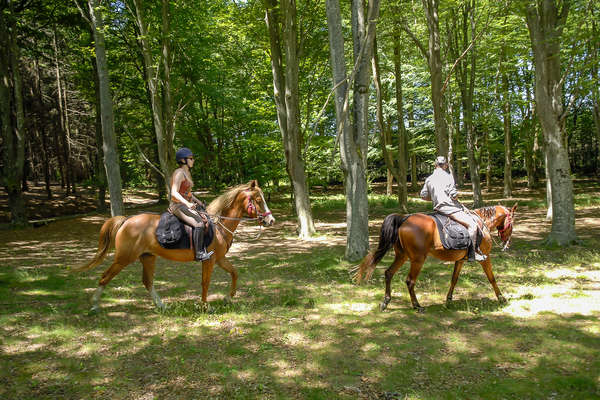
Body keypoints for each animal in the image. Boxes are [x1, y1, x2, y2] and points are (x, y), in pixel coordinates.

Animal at [73, 180, 276, 314]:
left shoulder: (219, 259)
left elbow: (234, 273)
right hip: (123, 259)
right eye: (258, 200)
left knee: (147, 282)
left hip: (148, 257)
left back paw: (162, 305)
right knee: (105, 277)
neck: (219, 225)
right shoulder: (209, 260)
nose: (270, 220)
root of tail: (127, 220)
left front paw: (228, 297)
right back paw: (95, 304)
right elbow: (205, 282)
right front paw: (205, 306)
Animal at [356, 205, 516, 310]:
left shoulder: (460, 260)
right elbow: (492, 278)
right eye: (512, 223)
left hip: (402, 256)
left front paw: (449, 299)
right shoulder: (485, 257)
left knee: (389, 273)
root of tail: (405, 219)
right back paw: (416, 305)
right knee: (410, 281)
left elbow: (454, 279)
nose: (507, 243)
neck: (481, 222)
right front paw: (501, 297)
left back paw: (386, 302)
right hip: (418, 259)